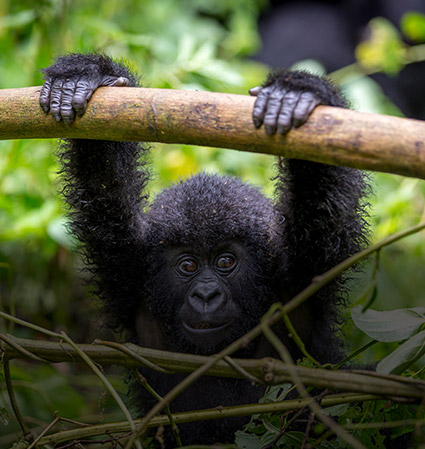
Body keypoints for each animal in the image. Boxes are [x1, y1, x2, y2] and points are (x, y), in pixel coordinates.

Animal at [39, 55, 368, 444]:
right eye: (188, 266)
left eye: (226, 261)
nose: (207, 294)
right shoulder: (127, 270)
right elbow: (103, 181)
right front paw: (84, 77)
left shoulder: (303, 276)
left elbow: (322, 198)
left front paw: (298, 93)